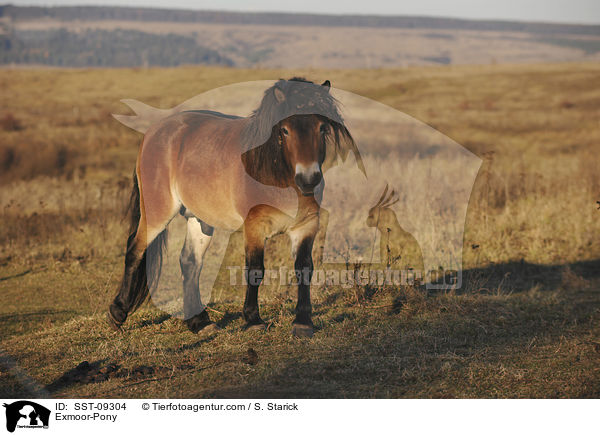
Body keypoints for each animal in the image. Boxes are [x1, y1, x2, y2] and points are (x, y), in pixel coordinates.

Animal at [107, 77, 360, 338]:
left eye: (322, 128)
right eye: (285, 130)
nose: (308, 179)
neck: (277, 176)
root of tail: (154, 131)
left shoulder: (306, 226)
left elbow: (304, 268)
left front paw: (303, 321)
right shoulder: (255, 227)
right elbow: (255, 269)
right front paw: (253, 319)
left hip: (200, 220)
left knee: (190, 262)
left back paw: (200, 322)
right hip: (158, 212)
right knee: (135, 251)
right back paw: (117, 313)